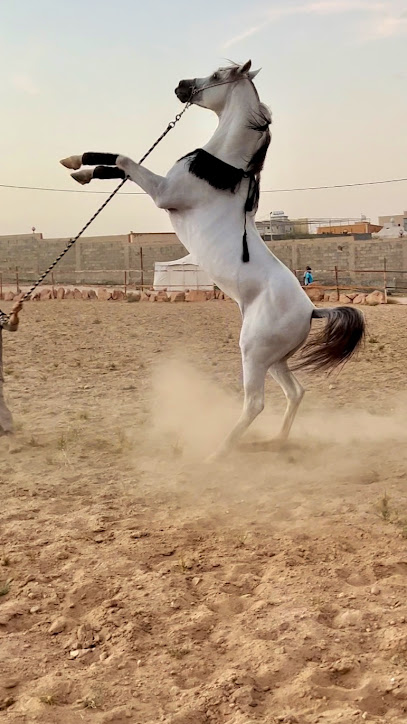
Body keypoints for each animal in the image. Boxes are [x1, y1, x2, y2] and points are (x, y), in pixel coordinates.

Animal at [60, 60, 365, 459]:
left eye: (219, 75)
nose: (181, 85)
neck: (220, 168)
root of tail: (312, 310)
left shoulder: (162, 193)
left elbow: (125, 160)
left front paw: (78, 166)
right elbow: (119, 165)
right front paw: (77, 167)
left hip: (252, 353)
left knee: (255, 403)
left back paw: (217, 453)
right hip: (274, 359)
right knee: (295, 392)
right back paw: (275, 441)